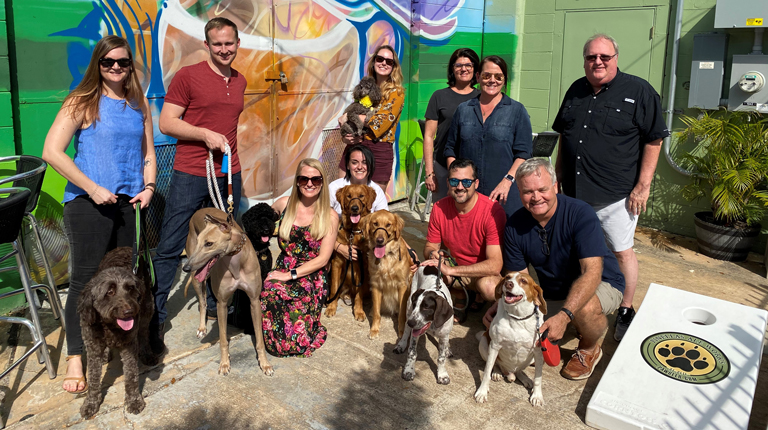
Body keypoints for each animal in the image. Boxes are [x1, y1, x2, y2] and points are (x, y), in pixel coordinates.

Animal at [78, 247, 158, 418]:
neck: (110, 326)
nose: (129, 311)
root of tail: (124, 247)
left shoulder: (129, 347)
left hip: (148, 307)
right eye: (109, 292)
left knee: (143, 333)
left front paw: (134, 400)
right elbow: (93, 379)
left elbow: (131, 376)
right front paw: (91, 403)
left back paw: (147, 353)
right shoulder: (93, 348)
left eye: (130, 288)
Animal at [182, 208, 274, 376]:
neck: (235, 261)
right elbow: (223, 339)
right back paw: (202, 328)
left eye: (209, 244)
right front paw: (224, 363)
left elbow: (259, 339)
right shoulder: (222, 303)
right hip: (197, 279)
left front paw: (265, 364)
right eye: (199, 242)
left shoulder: (254, 300)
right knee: (203, 303)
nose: (186, 268)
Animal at [326, 183, 376, 320]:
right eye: (349, 196)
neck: (353, 232)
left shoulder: (360, 266)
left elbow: (359, 295)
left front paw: (359, 311)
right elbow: (334, 288)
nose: (354, 208)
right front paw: (331, 307)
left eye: (361, 196)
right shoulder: (336, 263)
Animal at [360, 211, 414, 340]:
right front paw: (374, 330)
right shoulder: (376, 284)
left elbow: (402, 313)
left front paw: (401, 331)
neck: (386, 256)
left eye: (388, 225)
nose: (379, 240)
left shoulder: (402, 285)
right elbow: (377, 312)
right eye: (375, 223)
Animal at [474, 272, 544, 406]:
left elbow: (538, 378)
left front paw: (537, 396)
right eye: (507, 277)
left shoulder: (538, 352)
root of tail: (509, 373)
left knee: (519, 371)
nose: (508, 284)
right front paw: (482, 392)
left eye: (523, 281)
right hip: (484, 344)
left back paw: (525, 378)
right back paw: (497, 373)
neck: (518, 318)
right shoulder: (494, 346)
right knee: (495, 365)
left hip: (532, 359)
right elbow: (486, 372)